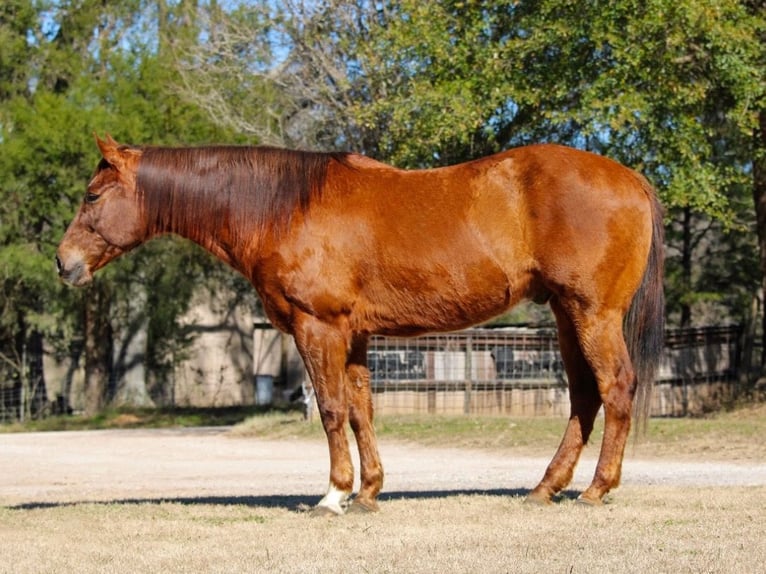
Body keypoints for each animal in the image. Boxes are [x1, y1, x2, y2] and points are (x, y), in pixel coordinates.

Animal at [57, 136, 664, 516]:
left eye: (92, 195)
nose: (64, 263)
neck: (284, 207)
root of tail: (632, 178)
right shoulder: (354, 335)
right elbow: (360, 410)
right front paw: (369, 492)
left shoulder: (318, 328)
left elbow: (330, 410)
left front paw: (333, 495)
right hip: (566, 313)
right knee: (584, 396)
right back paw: (545, 488)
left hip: (593, 314)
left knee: (615, 388)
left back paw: (596, 489)